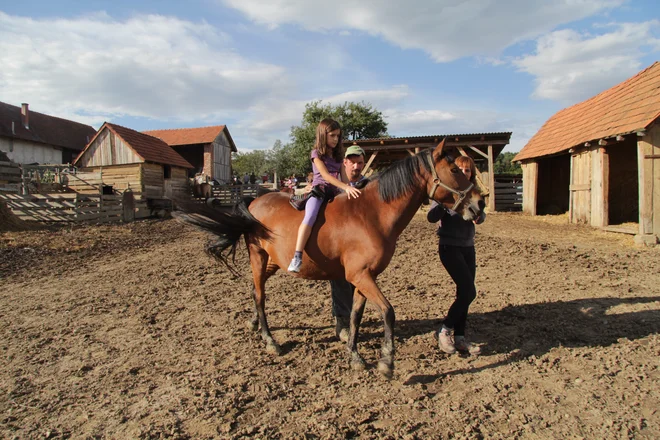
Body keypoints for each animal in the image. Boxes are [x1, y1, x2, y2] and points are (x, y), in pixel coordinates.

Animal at [174, 139, 484, 376]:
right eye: (455, 169)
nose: (479, 204)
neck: (371, 214)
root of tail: (254, 201)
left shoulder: (363, 277)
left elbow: (356, 316)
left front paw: (355, 355)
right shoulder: (361, 275)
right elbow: (388, 312)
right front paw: (387, 361)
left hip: (273, 261)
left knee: (254, 289)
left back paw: (254, 325)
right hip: (258, 257)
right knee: (260, 296)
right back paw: (269, 340)